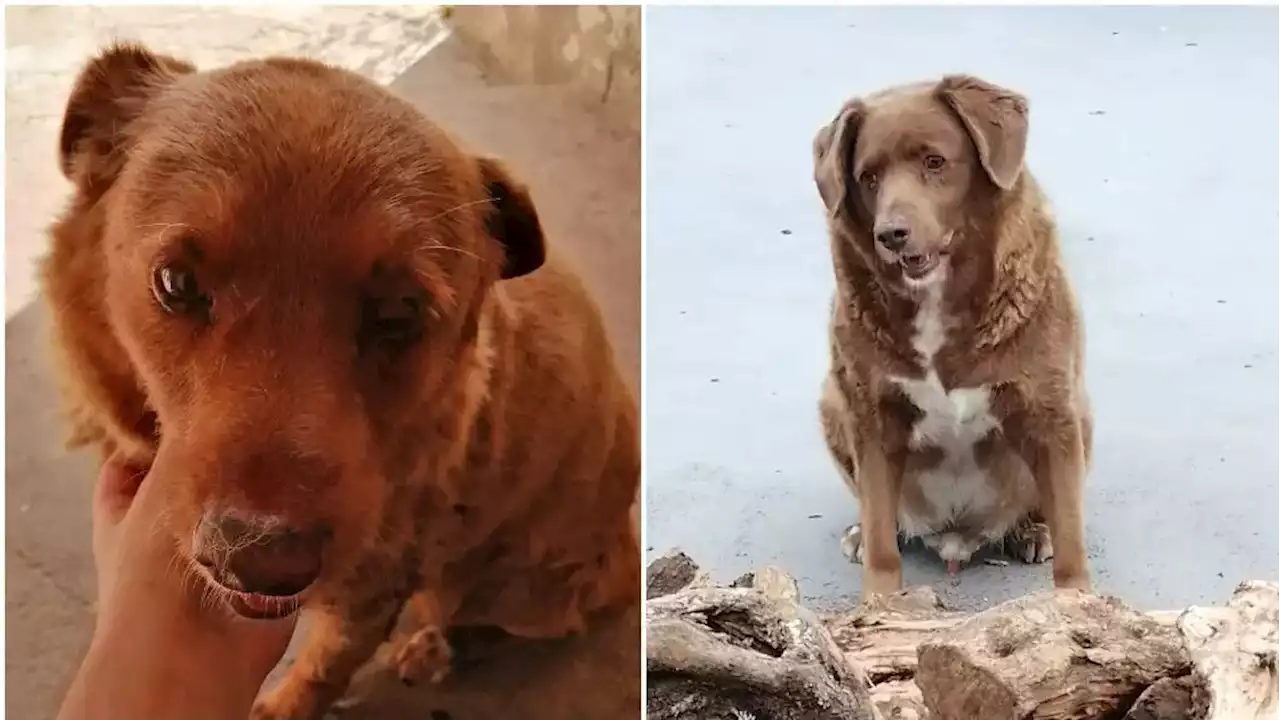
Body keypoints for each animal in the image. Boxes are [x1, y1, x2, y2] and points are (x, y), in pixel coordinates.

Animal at [42, 41, 640, 712]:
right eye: (177, 283)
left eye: (401, 311)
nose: (256, 562)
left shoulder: (374, 587)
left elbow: (323, 668)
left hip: (518, 590)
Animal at [814, 75, 1095, 597]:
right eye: (869, 177)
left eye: (934, 162)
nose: (891, 234)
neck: (937, 298)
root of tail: (956, 534)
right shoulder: (872, 417)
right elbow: (881, 536)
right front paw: (880, 601)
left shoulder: (1051, 413)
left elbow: (1071, 537)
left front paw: (1076, 601)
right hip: (831, 401)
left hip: (1081, 414)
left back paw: (1031, 530)